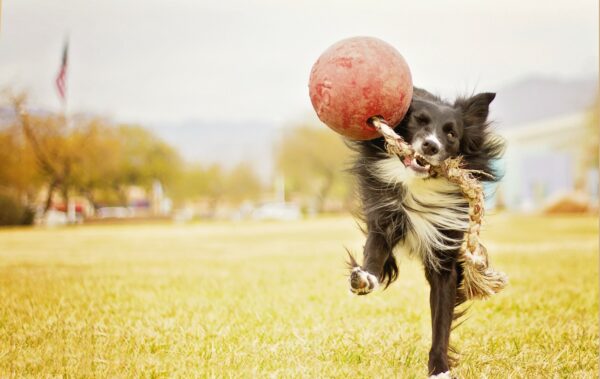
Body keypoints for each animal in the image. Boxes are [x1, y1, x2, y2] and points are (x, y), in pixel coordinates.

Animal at [346, 87, 506, 378]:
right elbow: (374, 254)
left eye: (451, 134)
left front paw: (439, 368)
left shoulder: (444, 254)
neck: (419, 183)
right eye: (418, 121)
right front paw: (364, 278)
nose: (431, 145)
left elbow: (441, 321)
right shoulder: (384, 220)